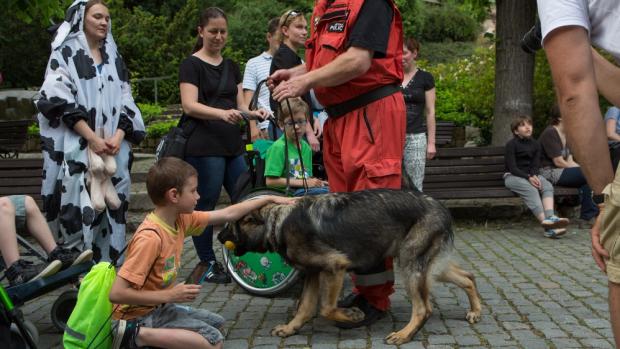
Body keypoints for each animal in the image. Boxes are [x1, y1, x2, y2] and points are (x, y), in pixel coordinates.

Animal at [219, 188, 484, 342]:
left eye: (230, 225)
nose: (219, 237)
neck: (277, 222)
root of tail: (441, 207)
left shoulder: (335, 266)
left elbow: (326, 308)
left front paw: (352, 315)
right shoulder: (314, 273)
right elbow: (305, 307)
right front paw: (290, 329)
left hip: (411, 265)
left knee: (423, 308)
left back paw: (404, 334)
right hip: (426, 266)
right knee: (468, 276)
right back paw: (475, 311)